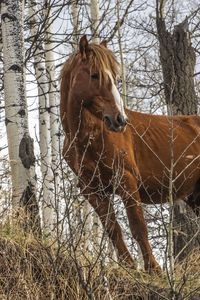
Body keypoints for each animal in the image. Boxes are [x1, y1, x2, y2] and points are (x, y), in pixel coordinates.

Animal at [60, 35, 200, 274]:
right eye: (94, 74)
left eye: (115, 77)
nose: (119, 120)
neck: (89, 137)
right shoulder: (92, 190)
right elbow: (113, 228)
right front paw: (128, 266)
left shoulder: (126, 180)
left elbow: (138, 227)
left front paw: (153, 269)